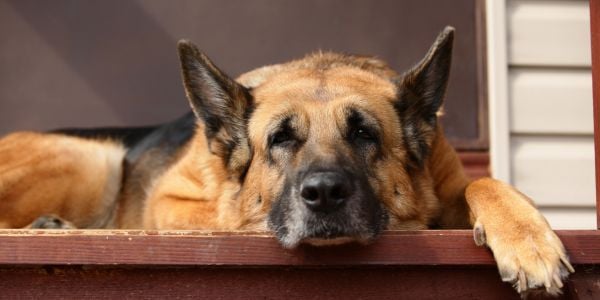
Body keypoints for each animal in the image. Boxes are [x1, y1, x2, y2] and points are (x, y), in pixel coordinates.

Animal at [0, 26, 572, 296]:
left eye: (362, 132)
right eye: (279, 138)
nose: (323, 194)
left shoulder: (451, 182)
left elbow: (485, 183)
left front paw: (527, 240)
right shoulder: (174, 202)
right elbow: (233, 219)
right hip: (95, 158)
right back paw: (49, 227)